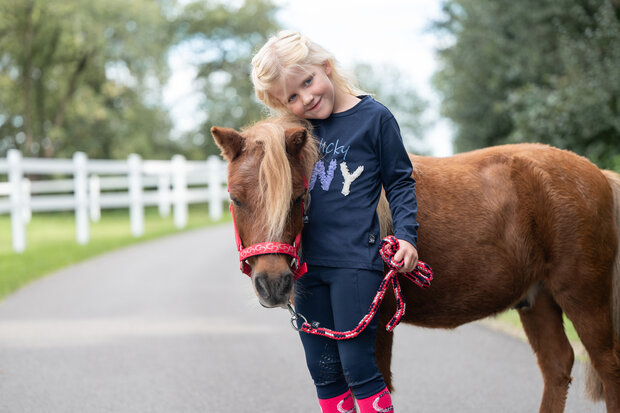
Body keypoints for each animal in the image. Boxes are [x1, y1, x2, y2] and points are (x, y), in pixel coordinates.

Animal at [213, 116, 620, 412]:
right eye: (235, 198)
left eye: (298, 198)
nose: (273, 282)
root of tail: (599, 174)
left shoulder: (375, 328)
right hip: (537, 301)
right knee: (557, 366)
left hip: (583, 297)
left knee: (608, 366)